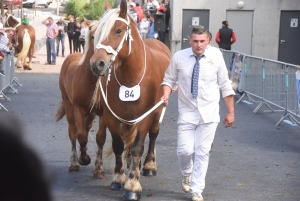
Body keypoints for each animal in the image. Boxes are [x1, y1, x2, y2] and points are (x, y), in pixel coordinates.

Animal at [89, 0, 171, 199]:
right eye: (97, 33)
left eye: (118, 30)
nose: (97, 64)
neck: (131, 76)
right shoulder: (111, 116)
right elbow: (119, 145)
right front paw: (119, 178)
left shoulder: (145, 116)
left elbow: (137, 147)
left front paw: (132, 185)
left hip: (158, 111)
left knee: (153, 134)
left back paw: (149, 165)